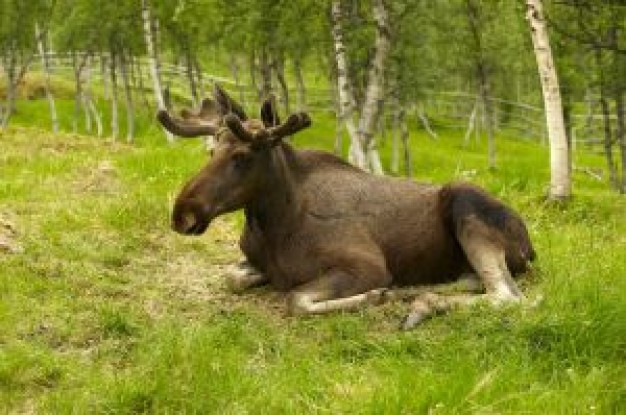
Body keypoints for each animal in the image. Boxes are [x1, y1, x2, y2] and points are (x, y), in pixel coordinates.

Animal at [158, 86, 532, 330]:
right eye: (211, 151)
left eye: (242, 156)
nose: (182, 213)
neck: (274, 221)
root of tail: (531, 247)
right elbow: (233, 277)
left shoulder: (366, 265)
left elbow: (295, 299)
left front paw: (373, 297)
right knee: (476, 280)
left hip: (465, 201)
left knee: (507, 296)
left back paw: (418, 304)